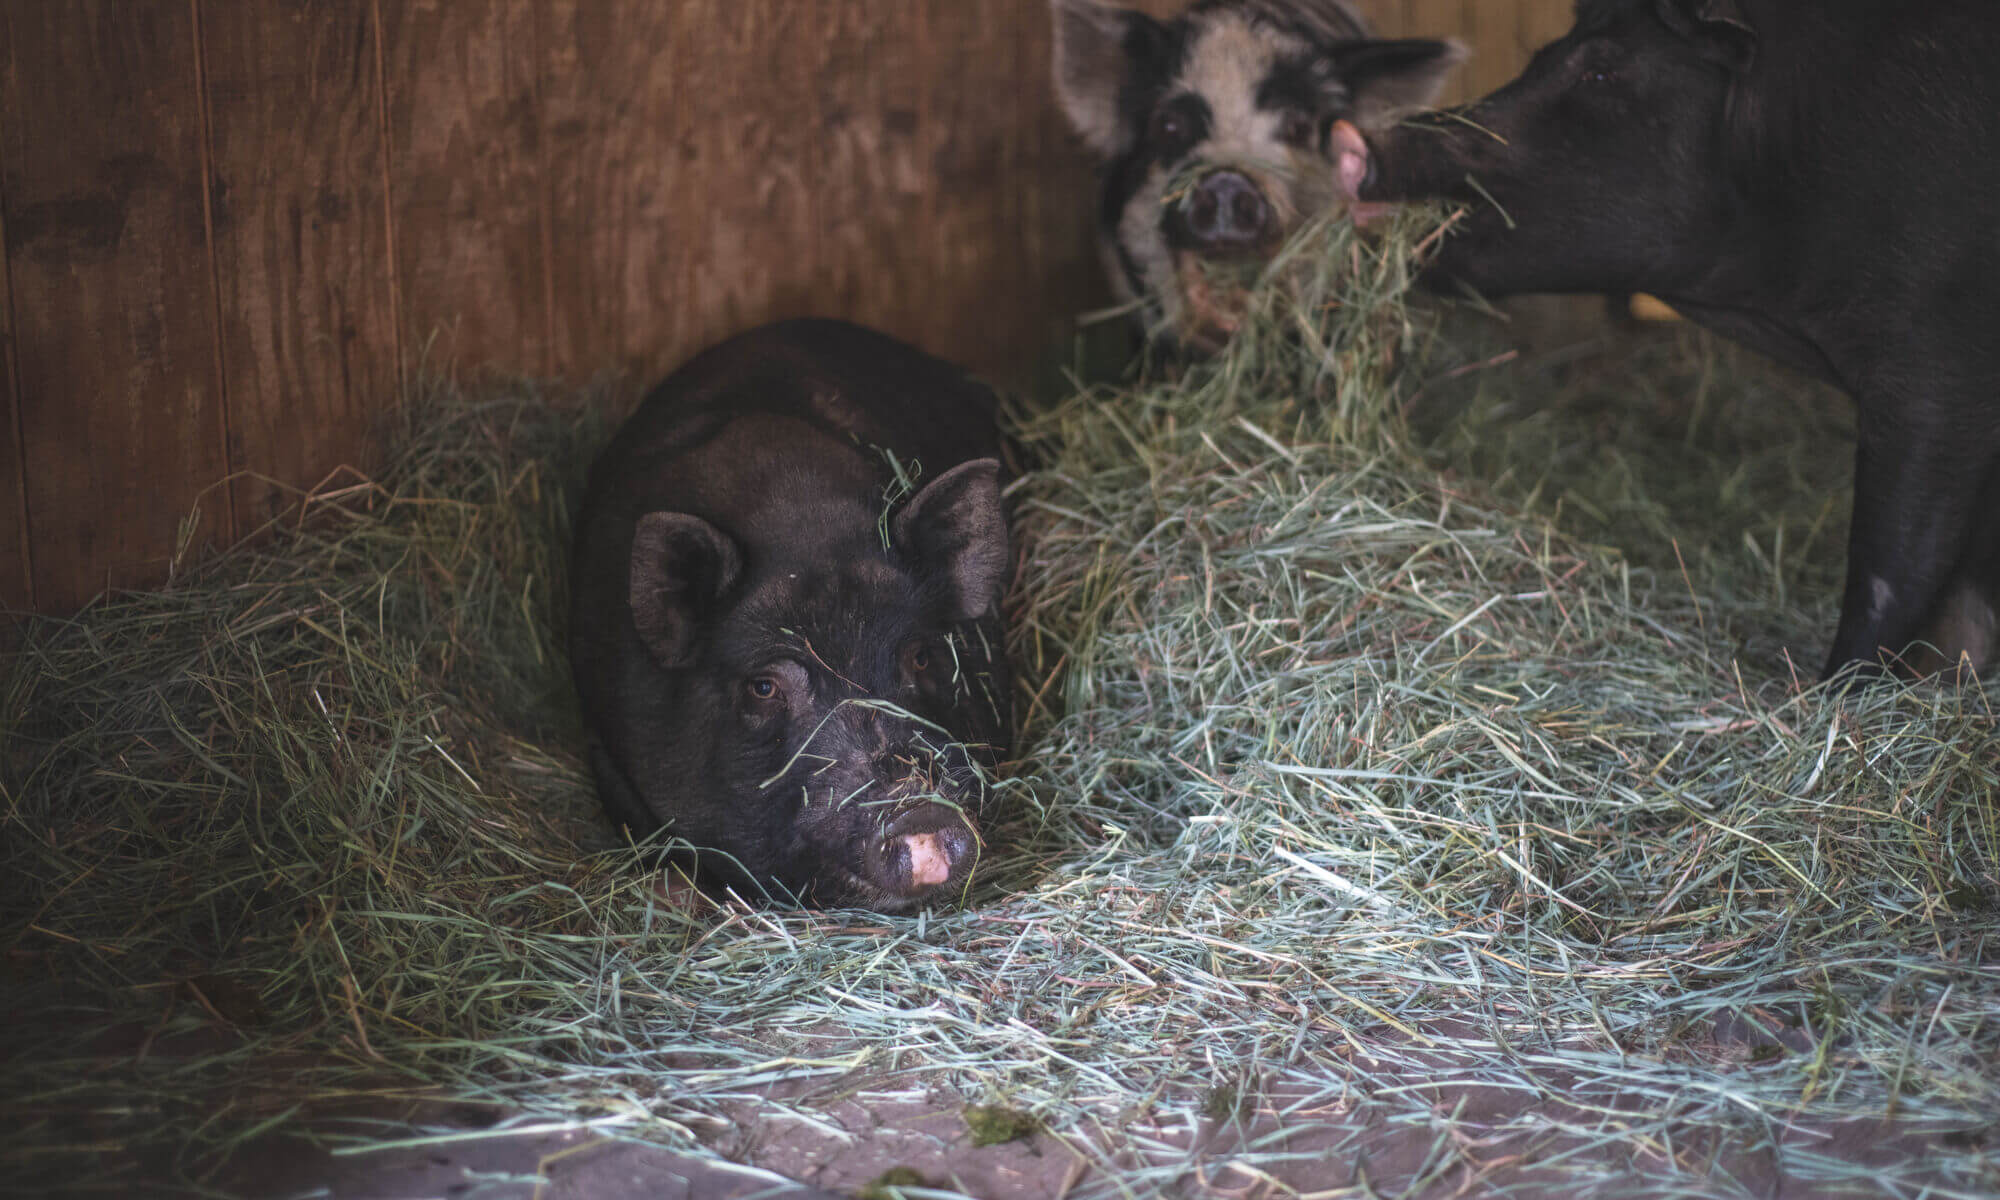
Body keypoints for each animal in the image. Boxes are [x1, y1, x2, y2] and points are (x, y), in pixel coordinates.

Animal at [1333, 0, 2000, 680]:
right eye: (1543, 55)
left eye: (1601, 71)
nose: (1348, 135)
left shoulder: (1936, 353)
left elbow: (1891, 564)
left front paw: (1827, 691)